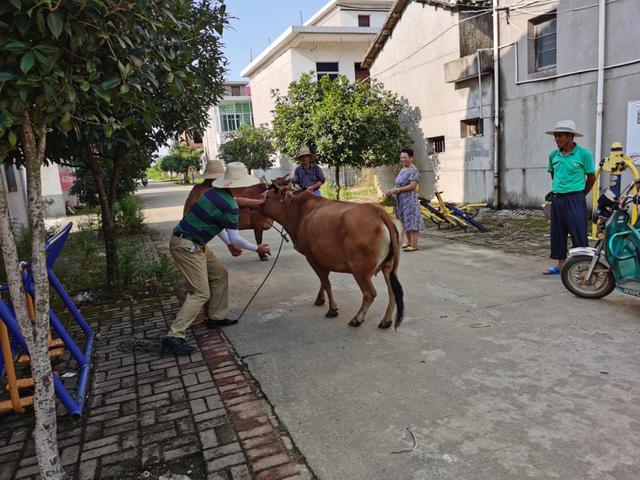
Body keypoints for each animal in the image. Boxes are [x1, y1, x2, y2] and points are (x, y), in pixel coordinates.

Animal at [258, 188, 402, 330]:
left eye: (268, 196)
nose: (258, 202)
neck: (298, 211)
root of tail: (380, 213)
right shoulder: (322, 258)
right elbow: (323, 281)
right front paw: (320, 299)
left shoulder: (311, 258)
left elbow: (326, 283)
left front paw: (332, 309)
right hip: (389, 268)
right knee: (393, 292)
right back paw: (386, 321)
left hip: (360, 271)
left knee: (370, 293)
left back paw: (357, 319)